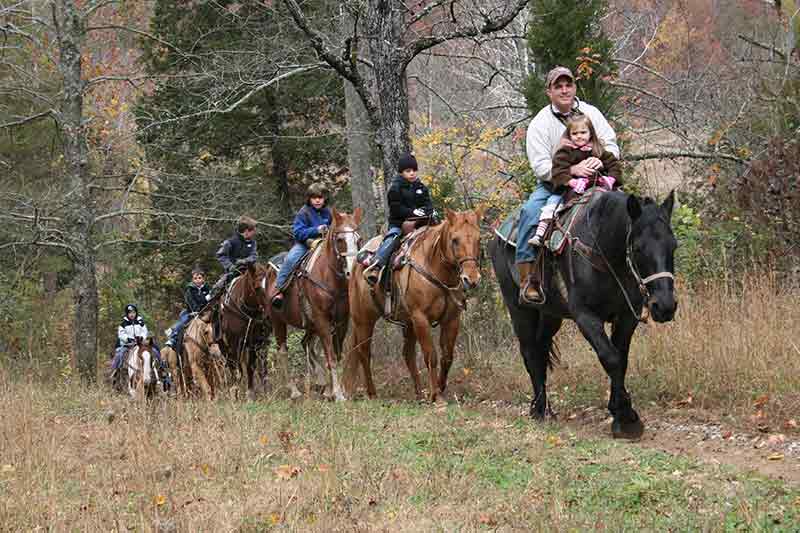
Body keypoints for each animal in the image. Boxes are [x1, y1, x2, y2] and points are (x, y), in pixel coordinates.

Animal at [216, 262, 272, 400]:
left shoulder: (254, 342)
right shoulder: (235, 342)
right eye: (257, 288)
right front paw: (235, 392)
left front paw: (250, 393)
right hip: (224, 347)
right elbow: (237, 368)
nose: (268, 316)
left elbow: (250, 367)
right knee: (232, 365)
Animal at [268, 207, 364, 400]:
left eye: (358, 239)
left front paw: (335, 390)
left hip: (310, 325)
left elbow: (336, 356)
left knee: (306, 344)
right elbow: (330, 357)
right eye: (340, 240)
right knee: (283, 352)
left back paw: (321, 383)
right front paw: (338, 394)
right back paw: (295, 391)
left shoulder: (342, 321)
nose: (351, 271)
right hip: (278, 322)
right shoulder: (322, 319)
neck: (329, 277)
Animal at [342, 208, 484, 404]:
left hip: (408, 324)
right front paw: (436, 396)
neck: (435, 267)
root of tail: (358, 260)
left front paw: (440, 388)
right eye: (455, 240)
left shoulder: (451, 319)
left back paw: (418, 394)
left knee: (407, 354)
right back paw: (372, 393)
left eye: (479, 239)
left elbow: (447, 357)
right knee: (364, 352)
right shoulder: (421, 318)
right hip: (364, 319)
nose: (472, 279)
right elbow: (431, 356)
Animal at [490, 189, 680, 438]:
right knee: (530, 351)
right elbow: (610, 358)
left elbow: (621, 359)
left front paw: (621, 413)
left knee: (540, 350)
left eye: (673, 245)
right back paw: (540, 410)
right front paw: (626, 417)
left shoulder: (627, 317)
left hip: (551, 314)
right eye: (638, 248)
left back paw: (543, 408)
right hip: (518, 308)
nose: (665, 306)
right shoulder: (585, 317)